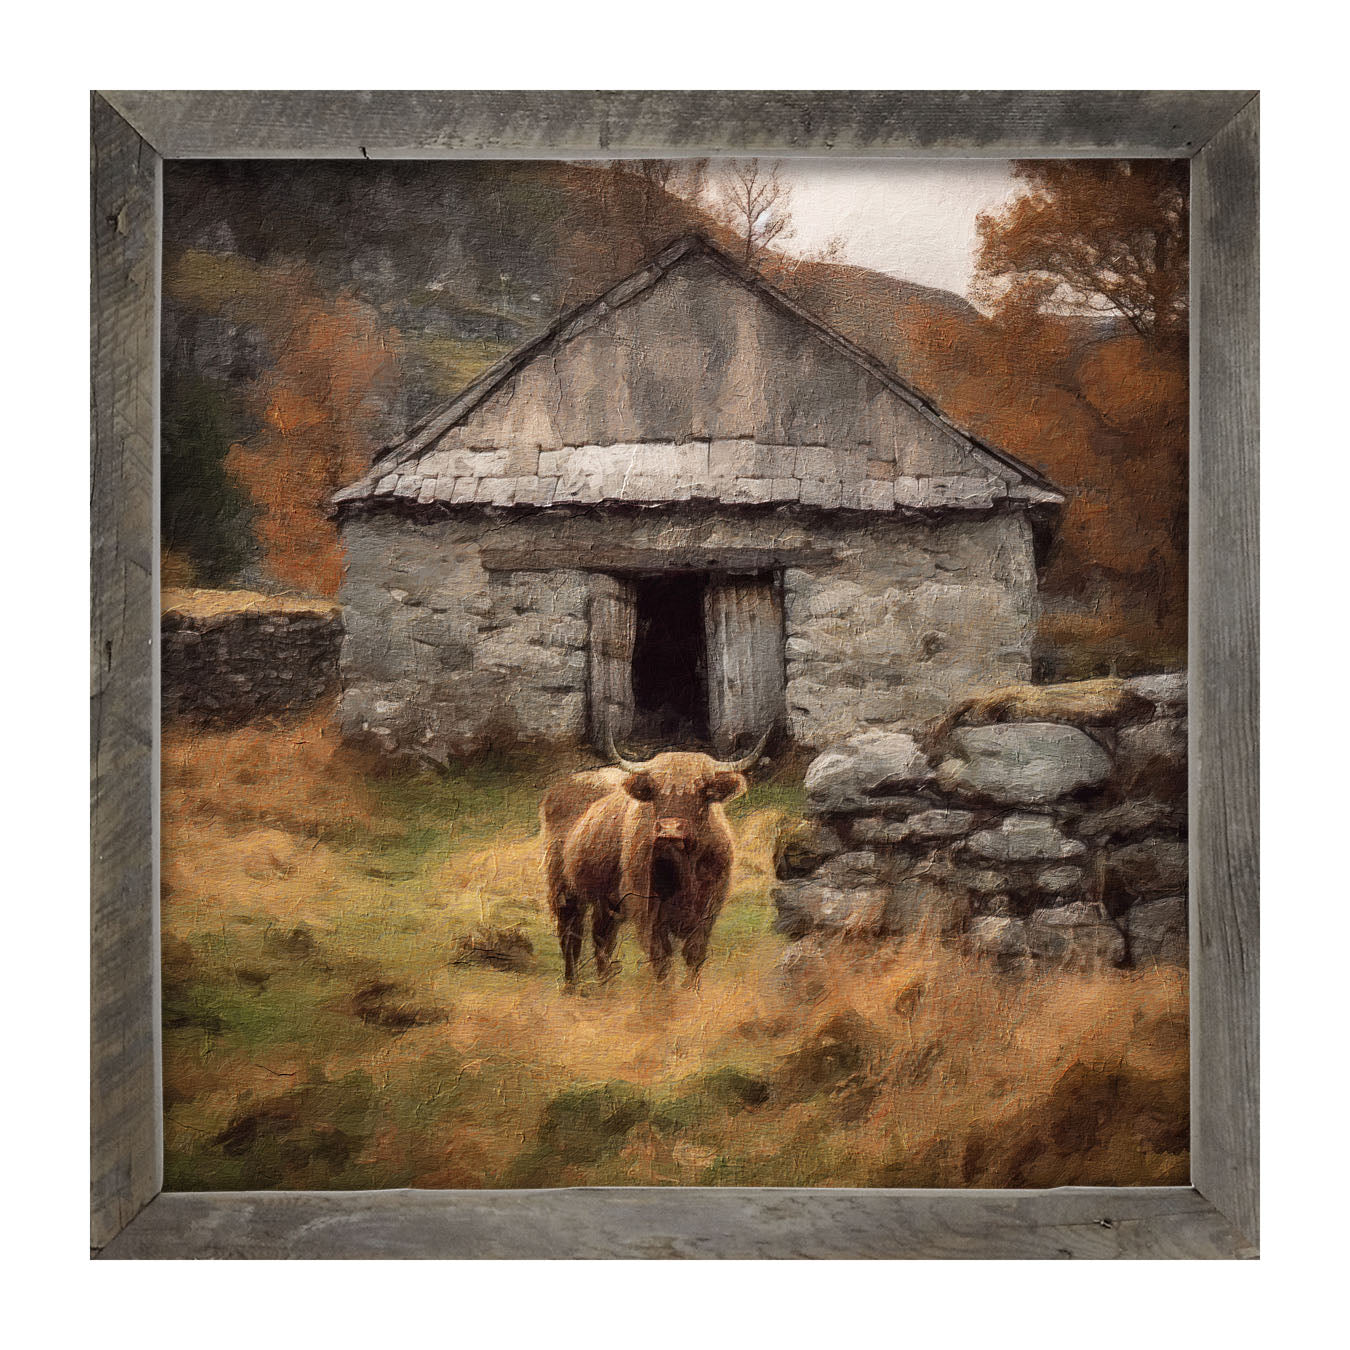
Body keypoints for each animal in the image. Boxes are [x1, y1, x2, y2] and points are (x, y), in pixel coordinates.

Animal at [540, 734, 772, 988]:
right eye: (655, 790)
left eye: (702, 789)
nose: (670, 830)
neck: (685, 867)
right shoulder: (648, 913)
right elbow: (662, 961)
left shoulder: (708, 911)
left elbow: (694, 955)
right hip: (564, 892)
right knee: (570, 938)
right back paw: (571, 987)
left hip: (605, 902)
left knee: (602, 940)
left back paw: (605, 987)